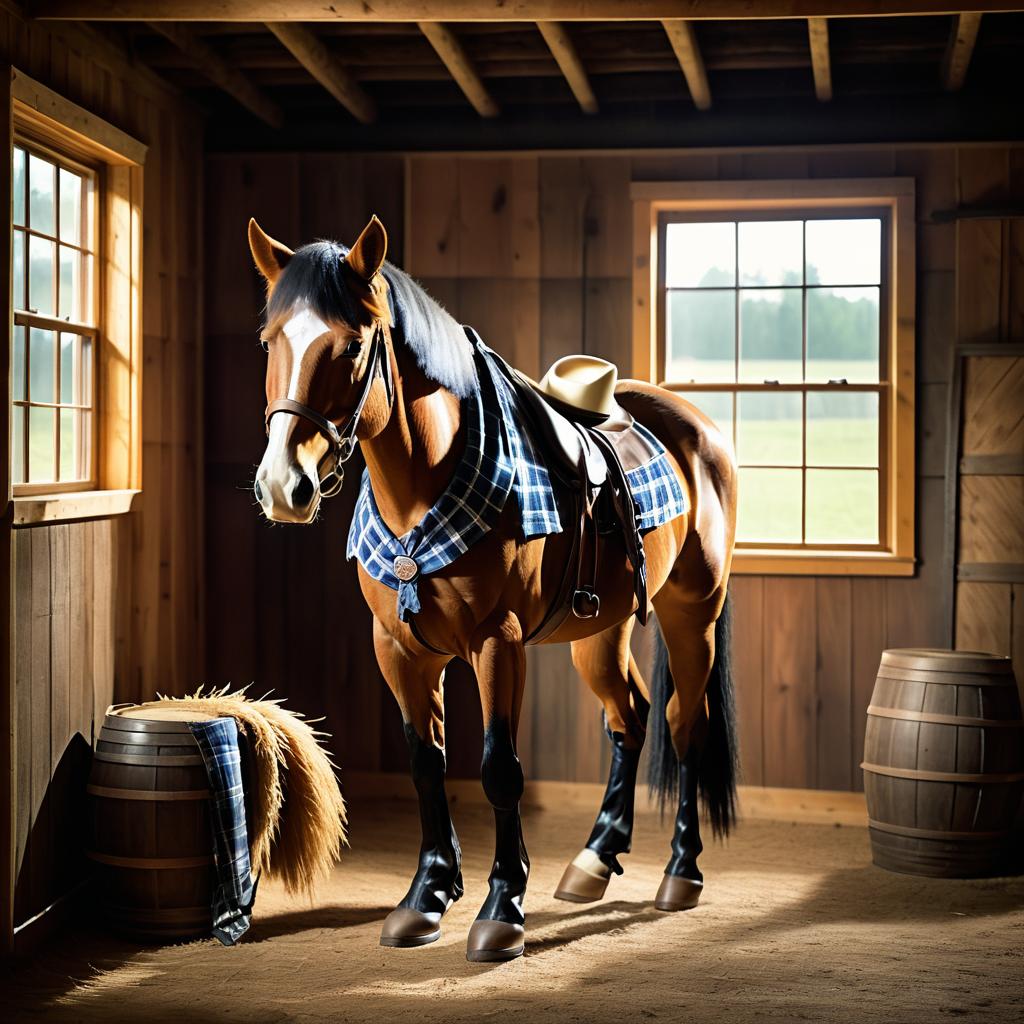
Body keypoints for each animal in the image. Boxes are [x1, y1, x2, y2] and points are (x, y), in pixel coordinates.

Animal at [249, 211, 745, 962]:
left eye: (354, 345)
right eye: (270, 340)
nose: (285, 484)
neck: (427, 488)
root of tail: (698, 429)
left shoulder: (497, 643)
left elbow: (499, 768)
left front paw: (501, 908)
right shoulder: (396, 647)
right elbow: (427, 764)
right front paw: (427, 896)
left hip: (694, 614)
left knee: (686, 724)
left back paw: (681, 872)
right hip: (601, 630)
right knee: (628, 716)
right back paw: (594, 860)